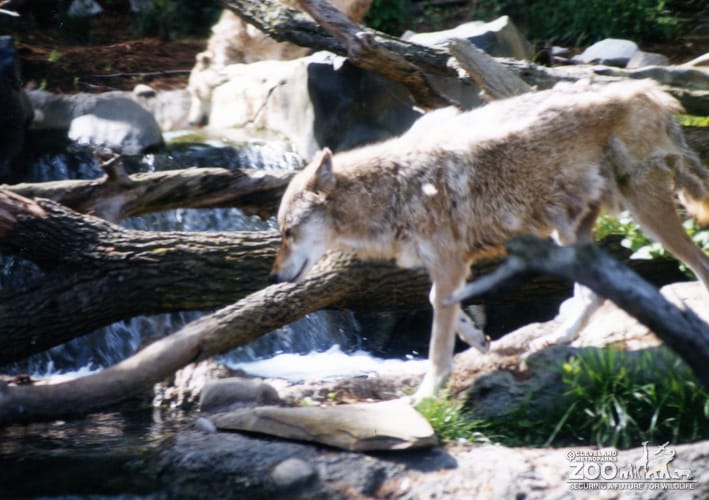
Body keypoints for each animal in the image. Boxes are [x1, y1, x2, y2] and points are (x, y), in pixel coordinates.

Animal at [270, 80, 709, 402]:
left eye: (288, 232)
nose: (273, 278)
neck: (393, 188)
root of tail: (647, 89)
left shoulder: (450, 264)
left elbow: (437, 342)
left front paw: (427, 394)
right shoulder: (446, 267)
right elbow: (439, 305)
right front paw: (477, 340)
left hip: (646, 214)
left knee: (698, 263)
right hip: (570, 233)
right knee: (593, 295)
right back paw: (560, 337)